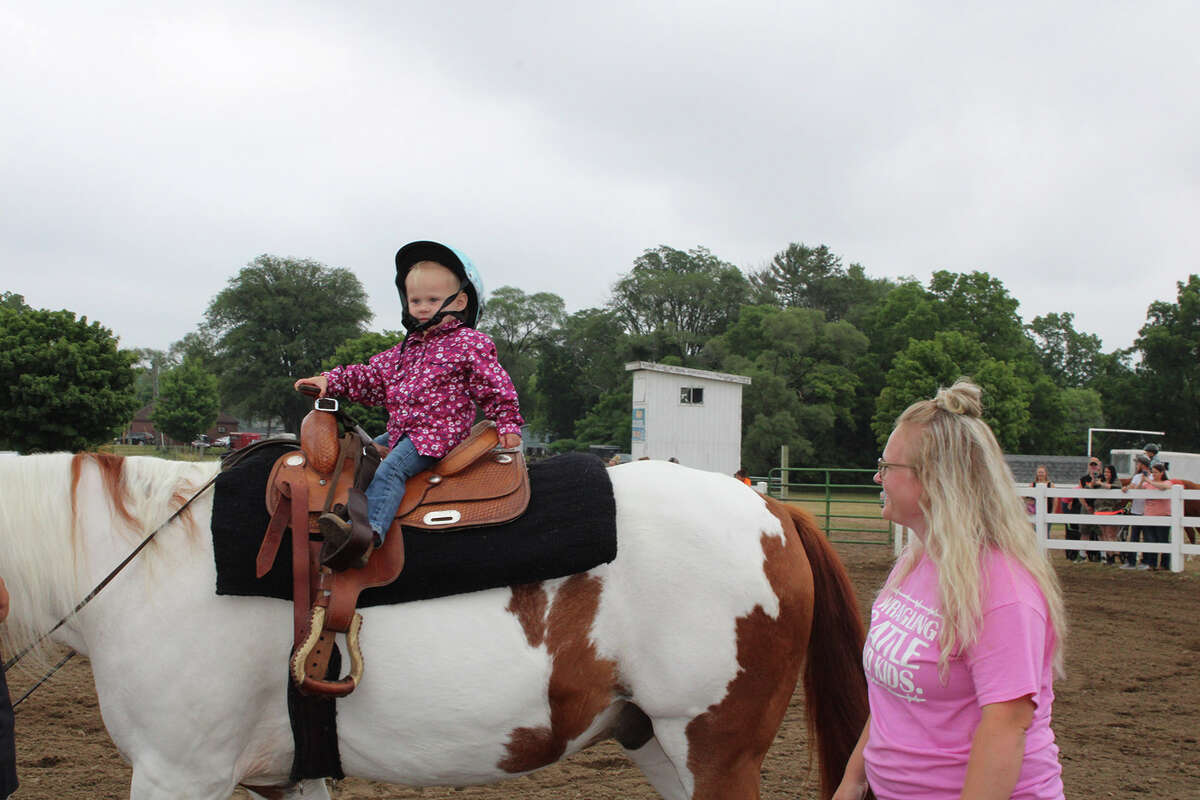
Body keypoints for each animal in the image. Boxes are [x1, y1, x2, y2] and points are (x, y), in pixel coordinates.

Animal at [0, 453, 868, 796]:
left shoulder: (180, 774)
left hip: (715, 749)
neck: (145, 564)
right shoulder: (283, 776)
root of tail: (776, 510)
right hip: (653, 741)